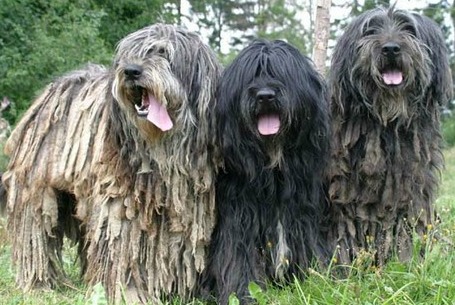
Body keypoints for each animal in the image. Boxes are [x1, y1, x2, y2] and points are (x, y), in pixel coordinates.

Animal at [2, 23, 222, 302]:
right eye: (130, 54)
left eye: (164, 52)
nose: (131, 70)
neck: (162, 149)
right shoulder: (120, 202)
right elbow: (123, 250)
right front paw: (128, 292)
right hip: (38, 189)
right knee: (36, 233)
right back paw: (39, 283)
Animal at [202, 39, 332, 302]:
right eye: (252, 75)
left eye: (280, 71)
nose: (265, 96)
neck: (274, 170)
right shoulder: (240, 218)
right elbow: (238, 258)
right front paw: (242, 294)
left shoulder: (304, 214)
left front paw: (316, 284)